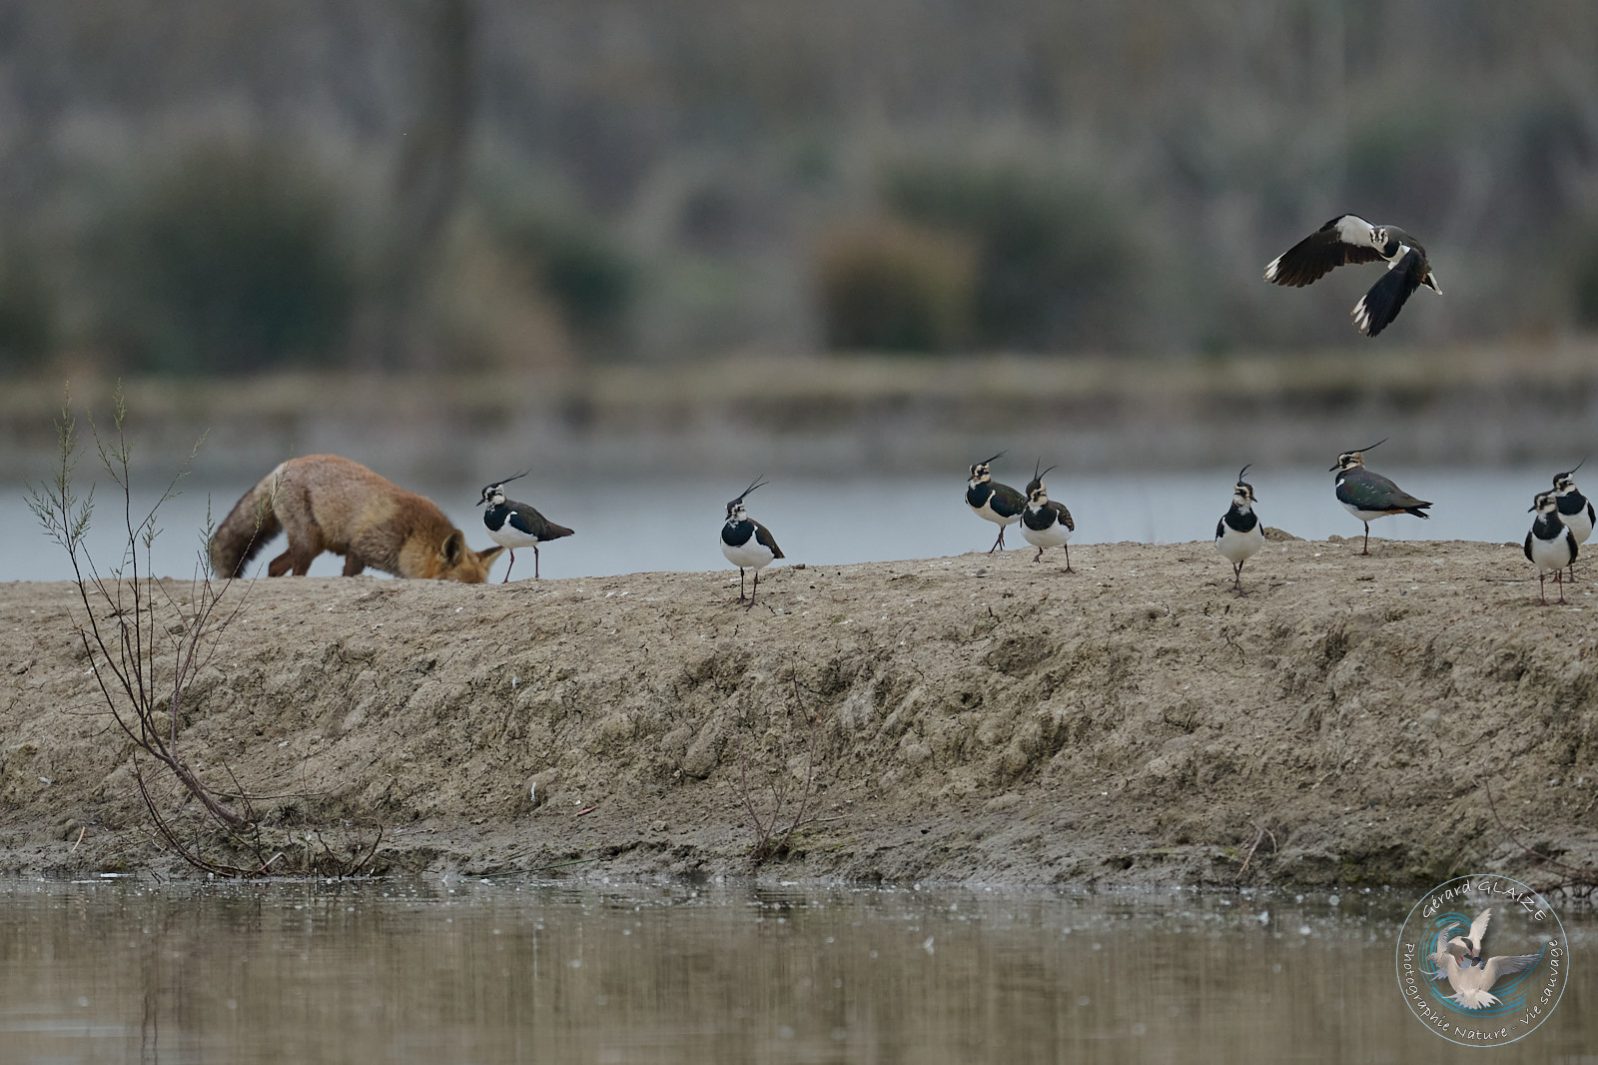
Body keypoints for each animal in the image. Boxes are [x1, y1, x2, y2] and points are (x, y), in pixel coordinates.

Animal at [209, 450, 501, 582]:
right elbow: (348, 574)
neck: (411, 535)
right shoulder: (358, 549)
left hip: (313, 545)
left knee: (273, 565)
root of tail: (283, 465)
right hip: (308, 544)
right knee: (290, 570)